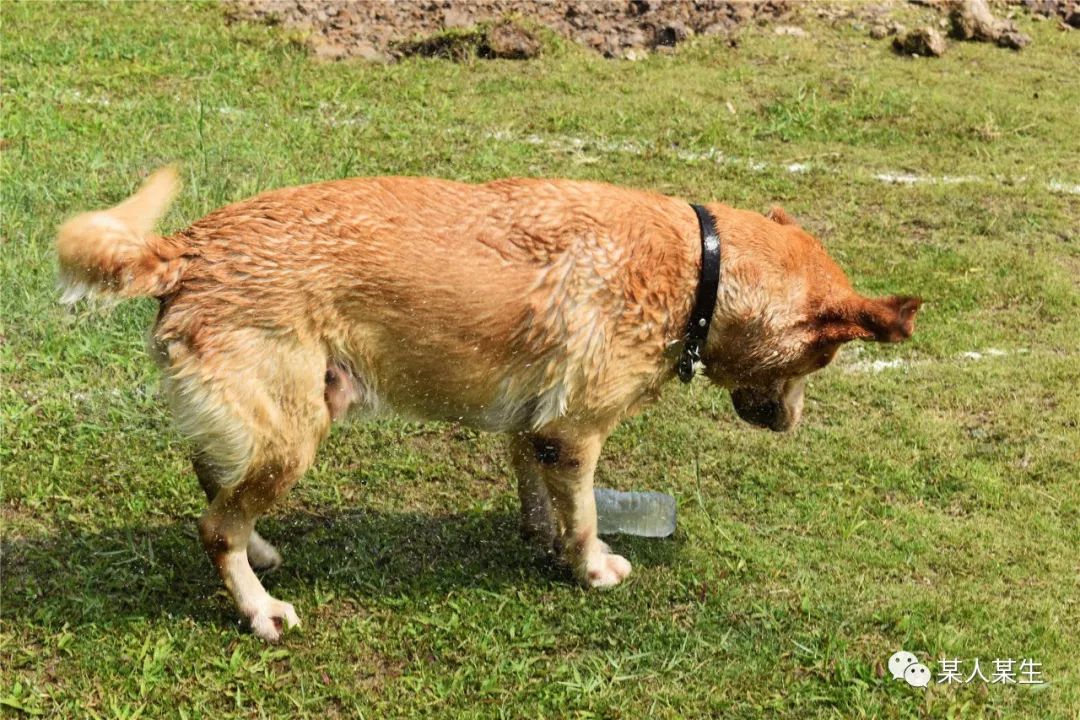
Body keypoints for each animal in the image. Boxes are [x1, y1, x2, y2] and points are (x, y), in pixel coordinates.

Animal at [56, 169, 920, 643]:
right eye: (824, 357)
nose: (792, 422)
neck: (701, 270)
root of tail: (184, 250)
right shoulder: (577, 431)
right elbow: (585, 514)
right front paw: (592, 567)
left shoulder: (536, 426)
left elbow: (538, 492)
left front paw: (540, 539)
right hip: (295, 430)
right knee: (214, 524)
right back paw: (259, 608)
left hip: (276, 420)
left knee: (214, 485)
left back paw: (261, 548)